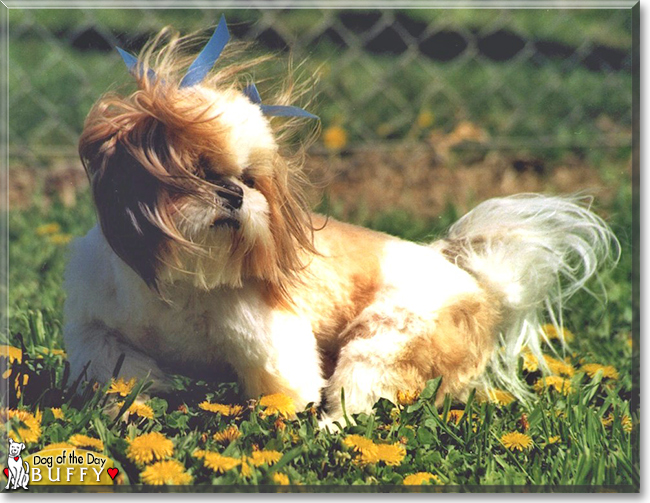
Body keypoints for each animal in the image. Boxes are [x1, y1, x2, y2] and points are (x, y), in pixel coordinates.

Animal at [63, 19, 616, 428]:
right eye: (194, 173)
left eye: (250, 179)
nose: (235, 193)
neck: (181, 279)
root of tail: (479, 286)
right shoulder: (95, 329)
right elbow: (119, 369)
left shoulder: (270, 342)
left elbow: (287, 390)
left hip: (383, 344)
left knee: (359, 401)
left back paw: (329, 431)